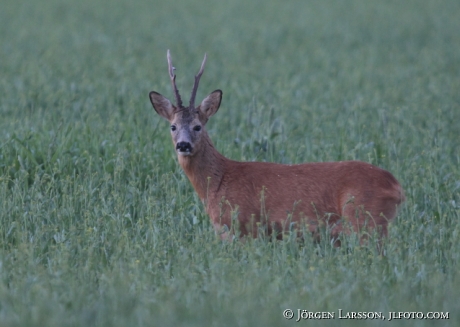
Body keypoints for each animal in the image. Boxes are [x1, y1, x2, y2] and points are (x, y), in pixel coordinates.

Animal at [149, 51, 404, 245]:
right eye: (173, 126)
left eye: (198, 126)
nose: (183, 145)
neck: (218, 181)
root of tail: (396, 186)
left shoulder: (245, 227)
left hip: (365, 220)